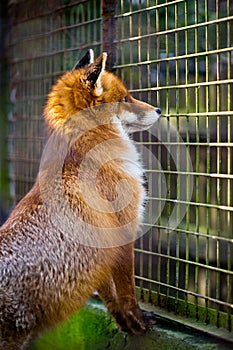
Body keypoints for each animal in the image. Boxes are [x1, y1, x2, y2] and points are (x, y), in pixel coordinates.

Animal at [0, 50, 160, 350]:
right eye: (125, 99)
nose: (159, 110)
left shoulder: (101, 252)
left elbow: (111, 298)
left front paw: (125, 324)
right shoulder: (123, 231)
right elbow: (127, 291)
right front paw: (138, 322)